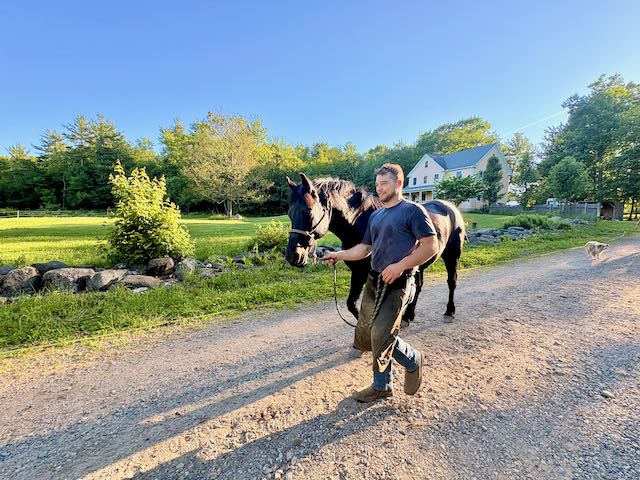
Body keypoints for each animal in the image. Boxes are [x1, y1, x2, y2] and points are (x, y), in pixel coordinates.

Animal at [285, 172, 466, 323]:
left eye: (309, 211)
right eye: (289, 213)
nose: (293, 256)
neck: (361, 223)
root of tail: (451, 207)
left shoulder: (369, 274)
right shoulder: (358, 272)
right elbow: (352, 304)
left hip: (452, 256)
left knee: (452, 281)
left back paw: (449, 311)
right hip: (419, 265)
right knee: (418, 286)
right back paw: (409, 315)